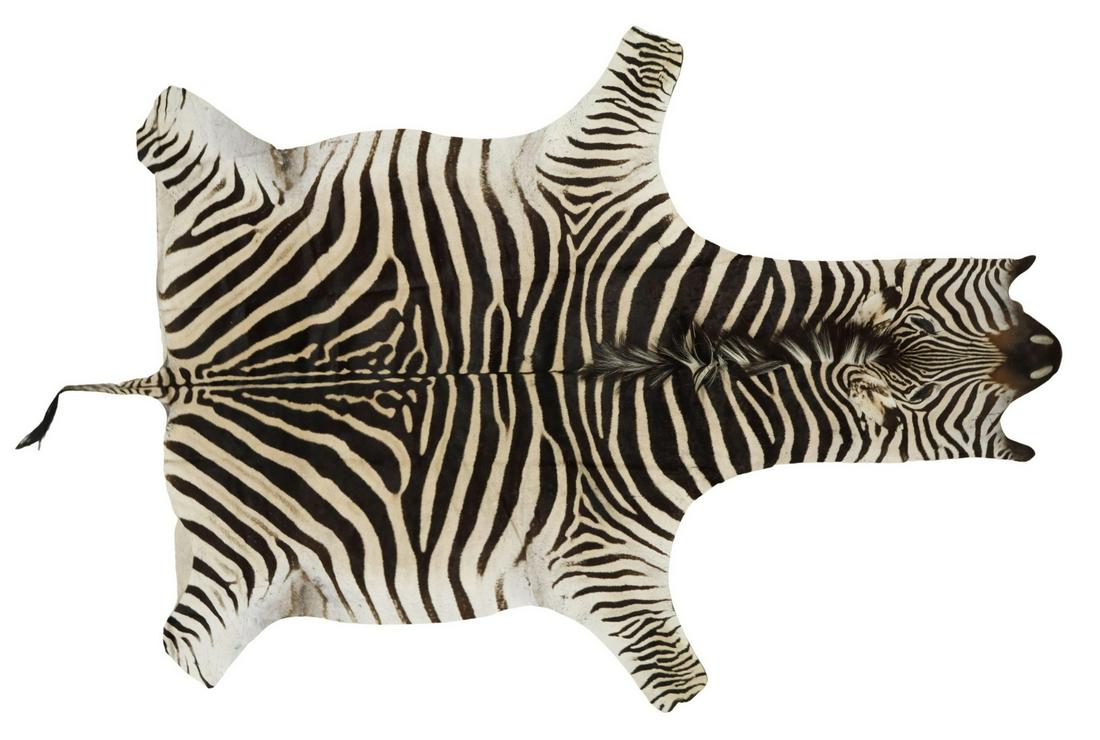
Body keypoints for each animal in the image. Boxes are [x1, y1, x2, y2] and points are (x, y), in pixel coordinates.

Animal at [17, 26, 1060, 711]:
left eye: (931, 314)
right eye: (914, 399)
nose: (1049, 353)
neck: (697, 353)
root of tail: (181, 376)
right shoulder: (607, 552)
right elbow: (643, 71)